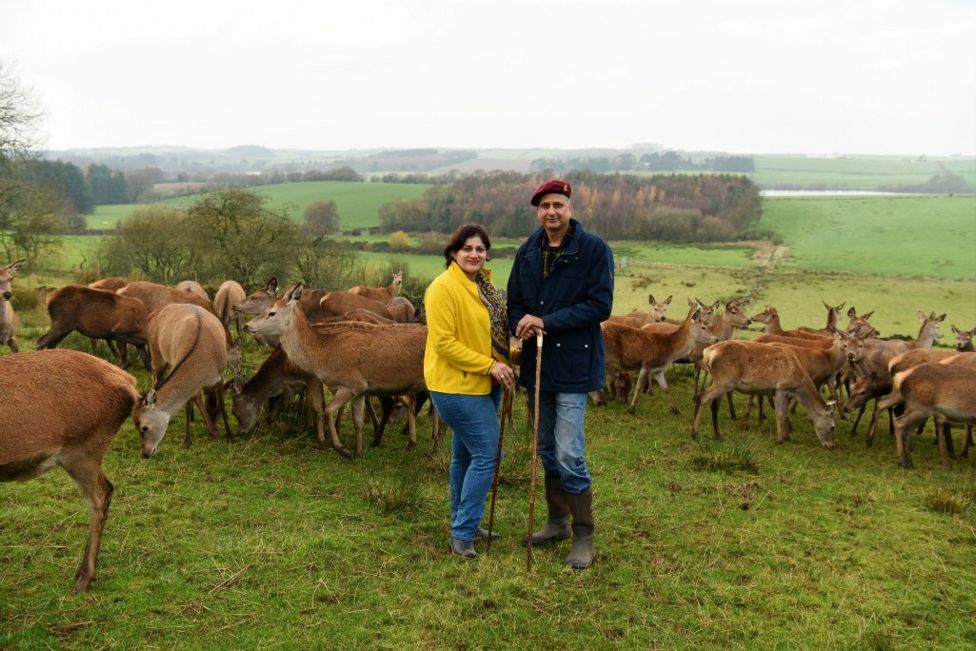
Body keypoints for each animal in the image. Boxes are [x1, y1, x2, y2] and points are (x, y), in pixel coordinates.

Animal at [133, 304, 234, 456]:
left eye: (144, 427)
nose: (145, 453)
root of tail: (154, 313)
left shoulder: (220, 374)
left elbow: (221, 403)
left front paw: (229, 436)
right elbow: (188, 404)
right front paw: (187, 441)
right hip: (156, 353)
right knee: (156, 380)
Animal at [242, 284, 426, 458]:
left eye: (272, 312)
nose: (246, 326)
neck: (322, 353)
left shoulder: (352, 384)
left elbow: (327, 409)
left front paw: (340, 448)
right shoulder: (361, 391)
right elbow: (357, 421)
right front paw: (358, 451)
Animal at [692, 342, 836, 448]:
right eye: (832, 427)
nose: (830, 445)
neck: (797, 383)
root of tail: (707, 353)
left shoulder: (785, 392)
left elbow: (785, 413)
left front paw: (787, 437)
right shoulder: (780, 388)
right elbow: (780, 414)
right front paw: (780, 440)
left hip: (718, 380)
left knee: (714, 406)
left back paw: (718, 435)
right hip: (725, 380)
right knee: (702, 397)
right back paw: (694, 433)